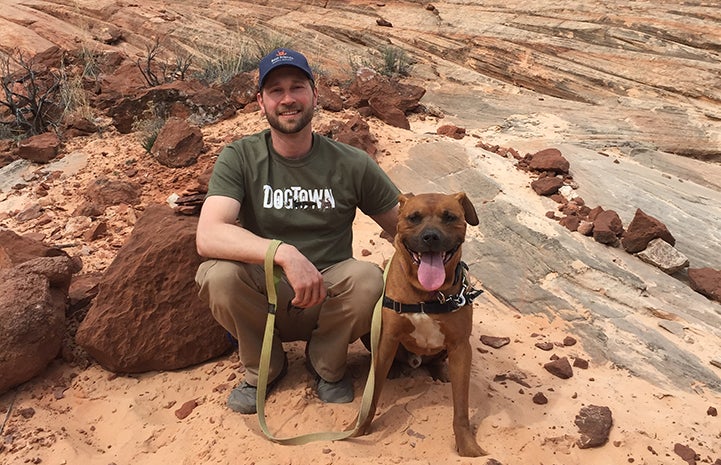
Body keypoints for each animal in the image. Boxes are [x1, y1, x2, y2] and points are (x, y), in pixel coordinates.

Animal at [354, 192, 484, 456]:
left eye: (450, 217)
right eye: (414, 217)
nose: (431, 236)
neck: (427, 295)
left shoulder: (460, 346)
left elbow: (461, 408)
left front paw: (467, 446)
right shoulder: (387, 338)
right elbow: (372, 393)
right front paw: (359, 429)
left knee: (438, 362)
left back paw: (440, 371)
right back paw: (395, 369)